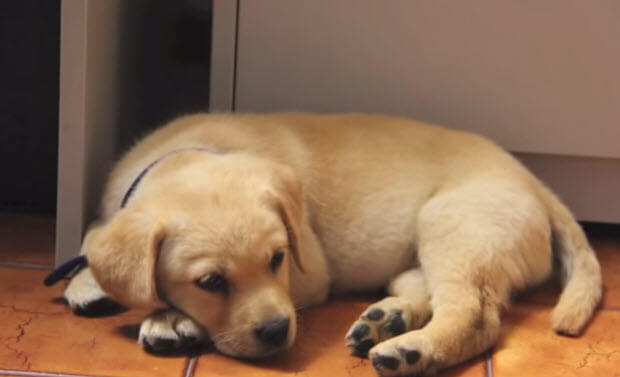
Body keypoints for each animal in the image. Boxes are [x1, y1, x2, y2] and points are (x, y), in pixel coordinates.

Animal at [63, 113, 600, 374]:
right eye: (211, 281)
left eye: (278, 259)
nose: (277, 332)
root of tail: (535, 184)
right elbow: (92, 237)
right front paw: (86, 280)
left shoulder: (308, 271)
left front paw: (170, 318)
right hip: (420, 250)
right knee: (426, 292)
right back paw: (386, 321)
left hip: (454, 225)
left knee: (475, 315)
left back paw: (413, 351)